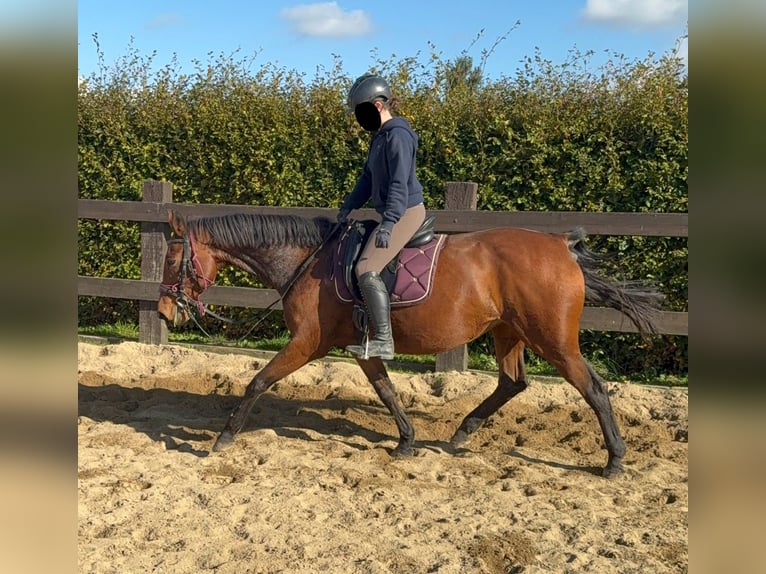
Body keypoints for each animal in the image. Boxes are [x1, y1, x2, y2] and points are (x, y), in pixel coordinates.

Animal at [157, 210, 663, 478]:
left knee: (593, 388)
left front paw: (223, 437)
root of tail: (562, 247)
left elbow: (258, 382)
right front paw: (406, 441)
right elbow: (386, 391)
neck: (309, 261)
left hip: (552, 340)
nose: (164, 311)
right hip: (509, 332)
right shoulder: (360, 349)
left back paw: (614, 460)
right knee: (512, 383)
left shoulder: (307, 344)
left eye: (172, 259)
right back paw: (462, 432)